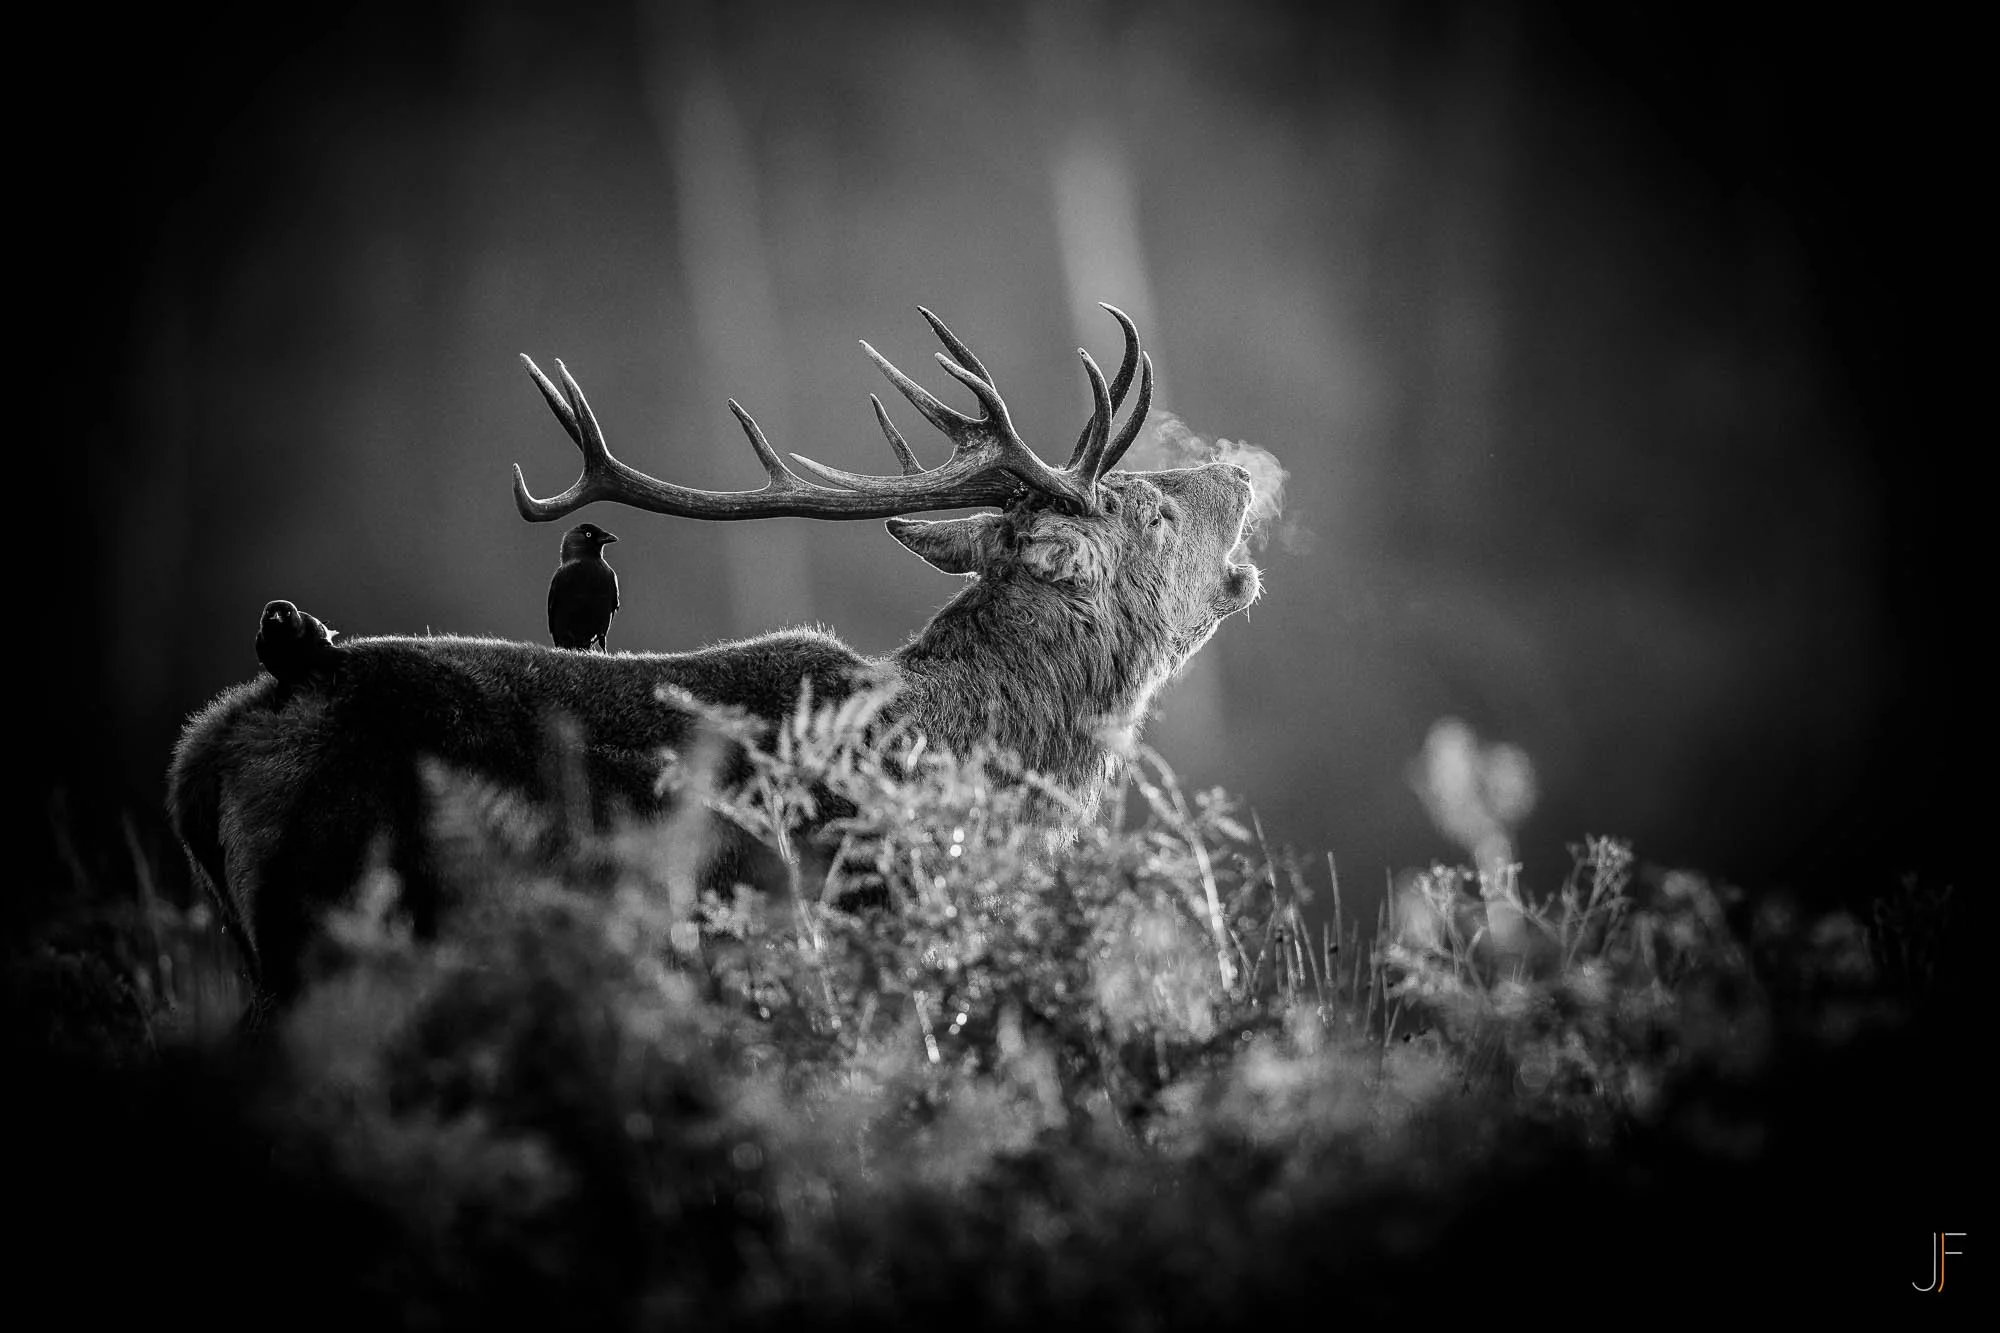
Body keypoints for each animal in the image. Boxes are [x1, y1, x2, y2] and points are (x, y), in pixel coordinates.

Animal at [168, 305, 1265, 1011]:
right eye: (1153, 511)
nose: (1237, 471)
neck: (957, 760)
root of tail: (212, 746)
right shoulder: (847, 922)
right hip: (339, 919)